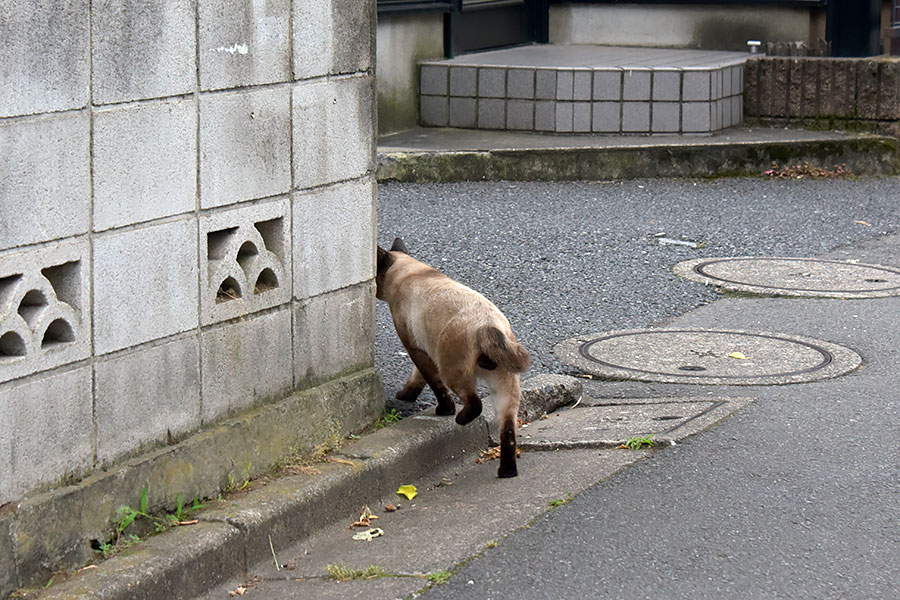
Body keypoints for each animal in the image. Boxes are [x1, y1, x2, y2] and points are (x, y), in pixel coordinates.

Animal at [376, 238, 532, 478]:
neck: (412, 272)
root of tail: (488, 325)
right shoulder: (424, 351)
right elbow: (418, 378)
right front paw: (406, 395)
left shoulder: (416, 349)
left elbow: (432, 383)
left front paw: (443, 410)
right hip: (505, 388)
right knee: (508, 431)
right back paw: (507, 472)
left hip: (453, 371)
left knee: (474, 403)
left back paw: (460, 420)